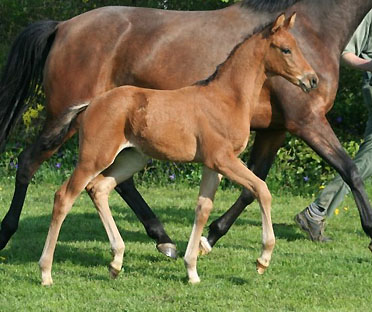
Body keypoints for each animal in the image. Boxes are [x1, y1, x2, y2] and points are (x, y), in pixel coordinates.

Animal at [39, 14, 316, 286]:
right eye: (286, 49)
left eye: (298, 46)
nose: (312, 79)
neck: (227, 99)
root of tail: (91, 104)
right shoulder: (223, 159)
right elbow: (262, 189)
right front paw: (263, 259)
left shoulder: (212, 165)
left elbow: (203, 208)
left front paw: (192, 270)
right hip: (94, 157)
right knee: (64, 197)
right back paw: (46, 272)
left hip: (132, 158)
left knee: (98, 188)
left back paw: (116, 262)